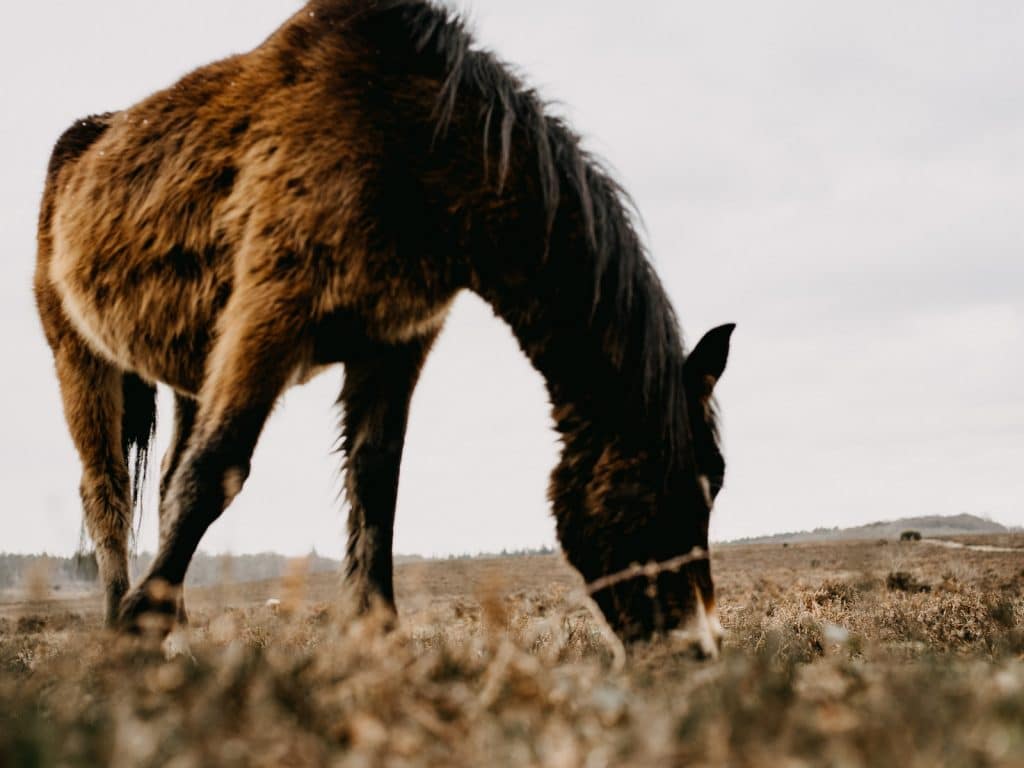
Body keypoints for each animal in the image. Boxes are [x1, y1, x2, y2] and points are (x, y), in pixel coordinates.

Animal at [34, 0, 737, 655]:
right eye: (656, 481)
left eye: (717, 480)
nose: (696, 648)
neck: (408, 144)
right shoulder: (270, 313)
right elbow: (217, 472)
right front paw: (134, 630)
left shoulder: (395, 343)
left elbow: (374, 478)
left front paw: (378, 632)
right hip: (79, 358)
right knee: (107, 491)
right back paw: (123, 619)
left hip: (191, 370)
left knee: (162, 482)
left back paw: (175, 631)